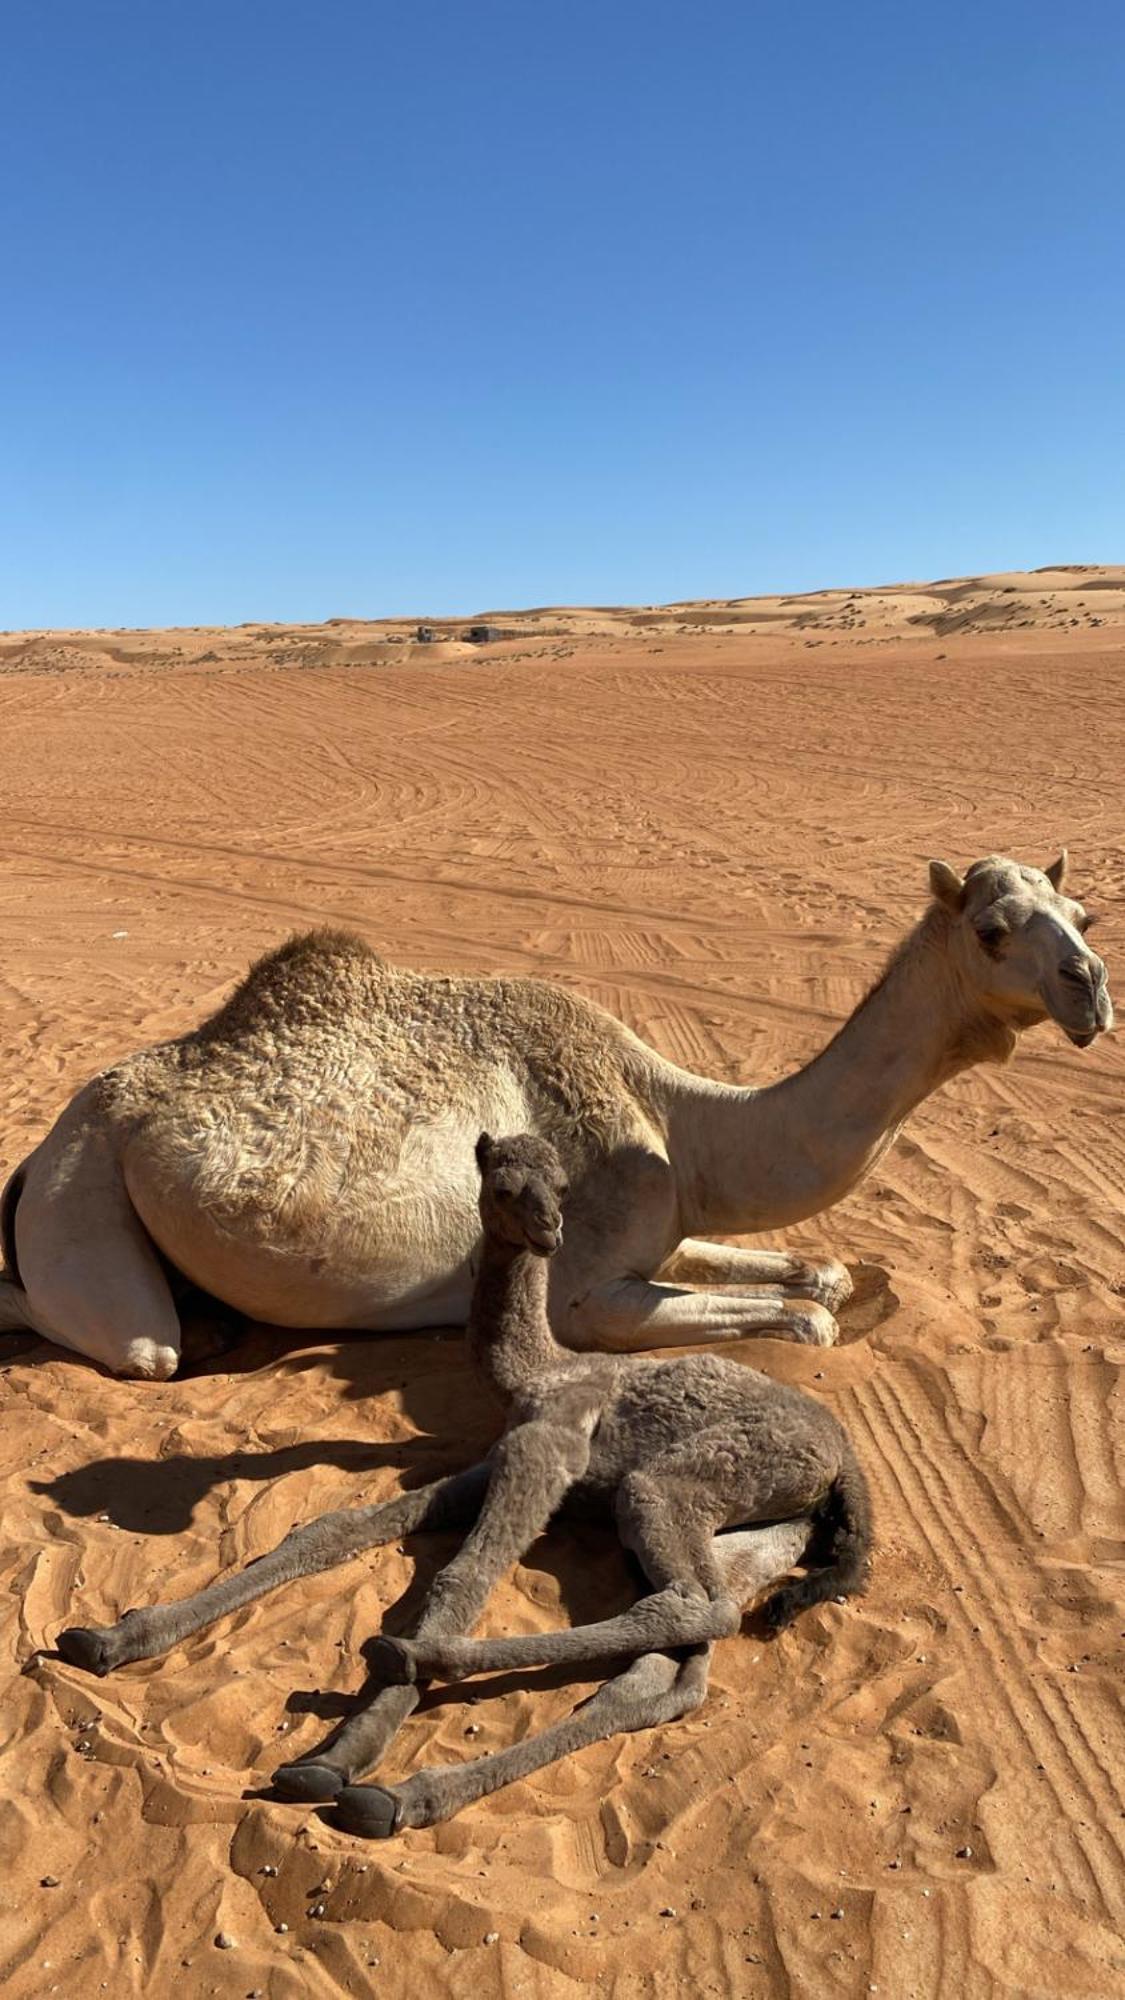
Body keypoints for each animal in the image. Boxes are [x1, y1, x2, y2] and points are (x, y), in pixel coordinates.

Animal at [0, 844, 1104, 1376]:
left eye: (1082, 914)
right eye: (995, 929)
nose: (1091, 986)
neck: (679, 1123)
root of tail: (49, 1139)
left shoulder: (665, 1221)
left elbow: (816, 1275)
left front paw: (826, 1272)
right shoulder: (583, 1292)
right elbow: (806, 1322)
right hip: (82, 1192)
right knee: (132, 1343)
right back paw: (193, 1333)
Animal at [57, 1144, 872, 1840]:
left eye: (562, 1185)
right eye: (502, 1185)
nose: (549, 1232)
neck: (536, 1365)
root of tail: (844, 1466)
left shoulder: (548, 1447)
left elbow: (463, 1577)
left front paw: (340, 1752)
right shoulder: (501, 1457)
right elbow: (338, 1528)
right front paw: (108, 1636)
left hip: (683, 1483)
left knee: (692, 1609)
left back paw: (402, 1713)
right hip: (757, 1532)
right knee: (680, 1660)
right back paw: (402, 1778)